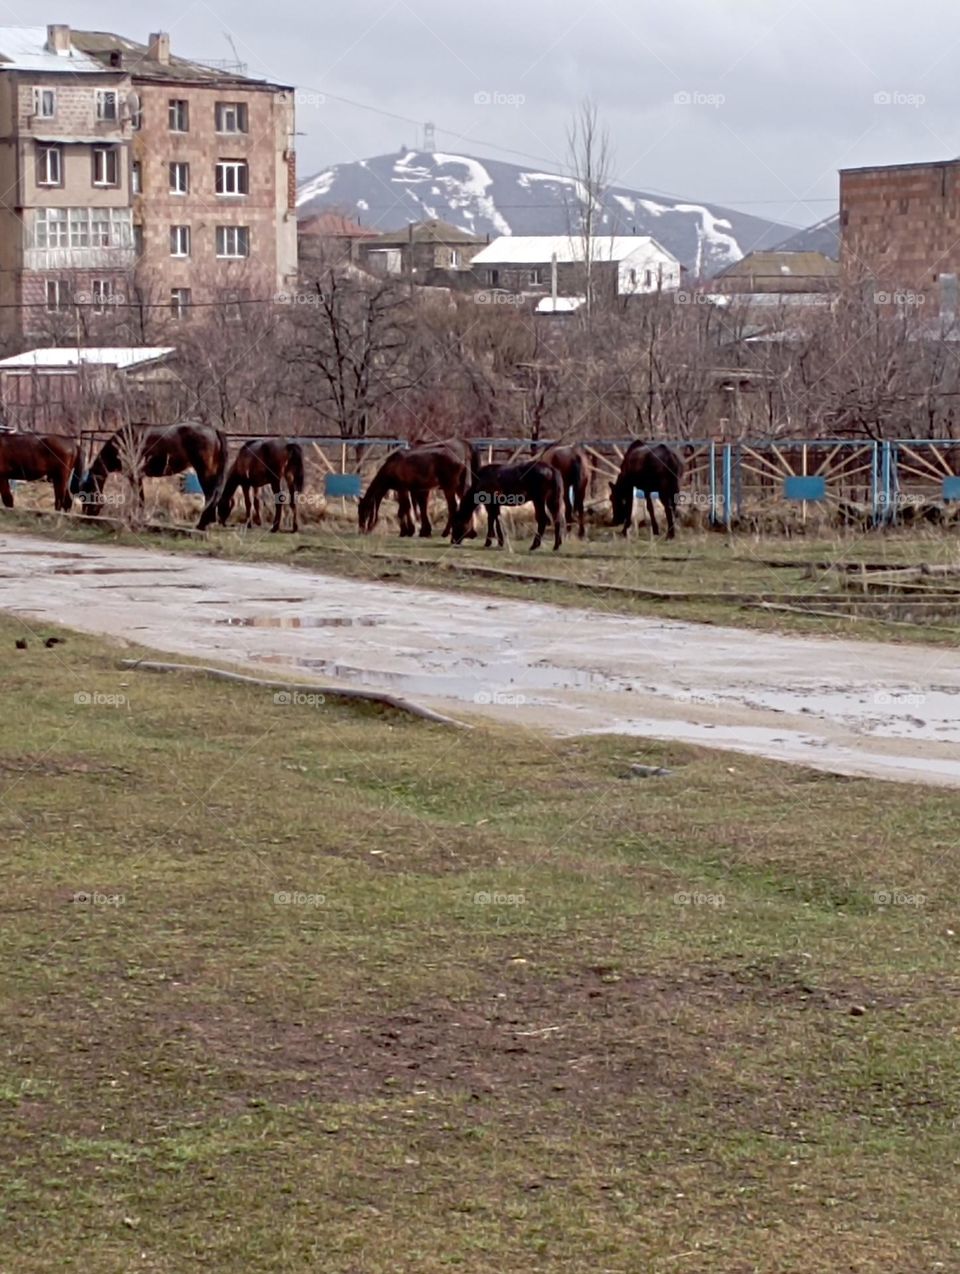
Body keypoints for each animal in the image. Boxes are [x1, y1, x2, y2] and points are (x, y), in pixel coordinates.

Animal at [80, 422, 229, 529]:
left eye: (86, 495)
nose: (85, 519)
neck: (124, 441)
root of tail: (214, 431)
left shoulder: (135, 476)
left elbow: (139, 499)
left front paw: (135, 519)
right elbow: (140, 499)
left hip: (205, 472)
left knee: (210, 495)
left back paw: (201, 524)